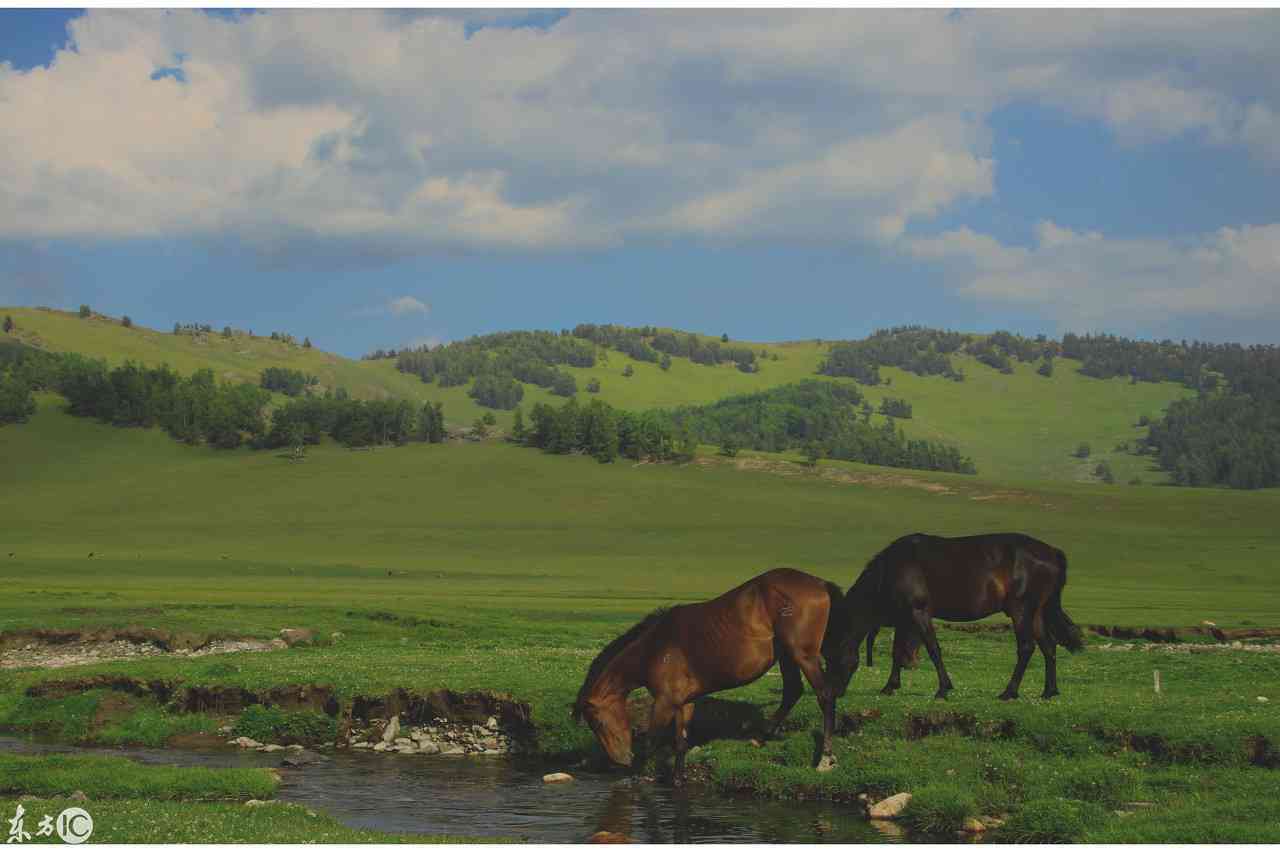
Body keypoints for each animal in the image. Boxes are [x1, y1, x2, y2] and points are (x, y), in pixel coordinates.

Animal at [576, 568, 844, 777]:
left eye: (597, 722)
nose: (621, 759)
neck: (654, 647)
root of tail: (820, 583)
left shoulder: (664, 702)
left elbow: (651, 744)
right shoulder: (684, 702)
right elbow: (681, 744)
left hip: (802, 655)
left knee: (824, 695)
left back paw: (825, 758)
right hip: (787, 656)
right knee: (793, 691)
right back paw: (761, 737)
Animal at [834, 532, 1085, 695]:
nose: (835, 692)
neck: (892, 568)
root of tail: (1052, 553)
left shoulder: (919, 613)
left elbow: (933, 649)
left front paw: (943, 688)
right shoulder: (904, 619)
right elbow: (897, 652)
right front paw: (890, 686)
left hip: (1021, 610)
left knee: (1026, 648)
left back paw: (1009, 692)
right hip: (1036, 613)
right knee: (1048, 647)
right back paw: (1049, 691)